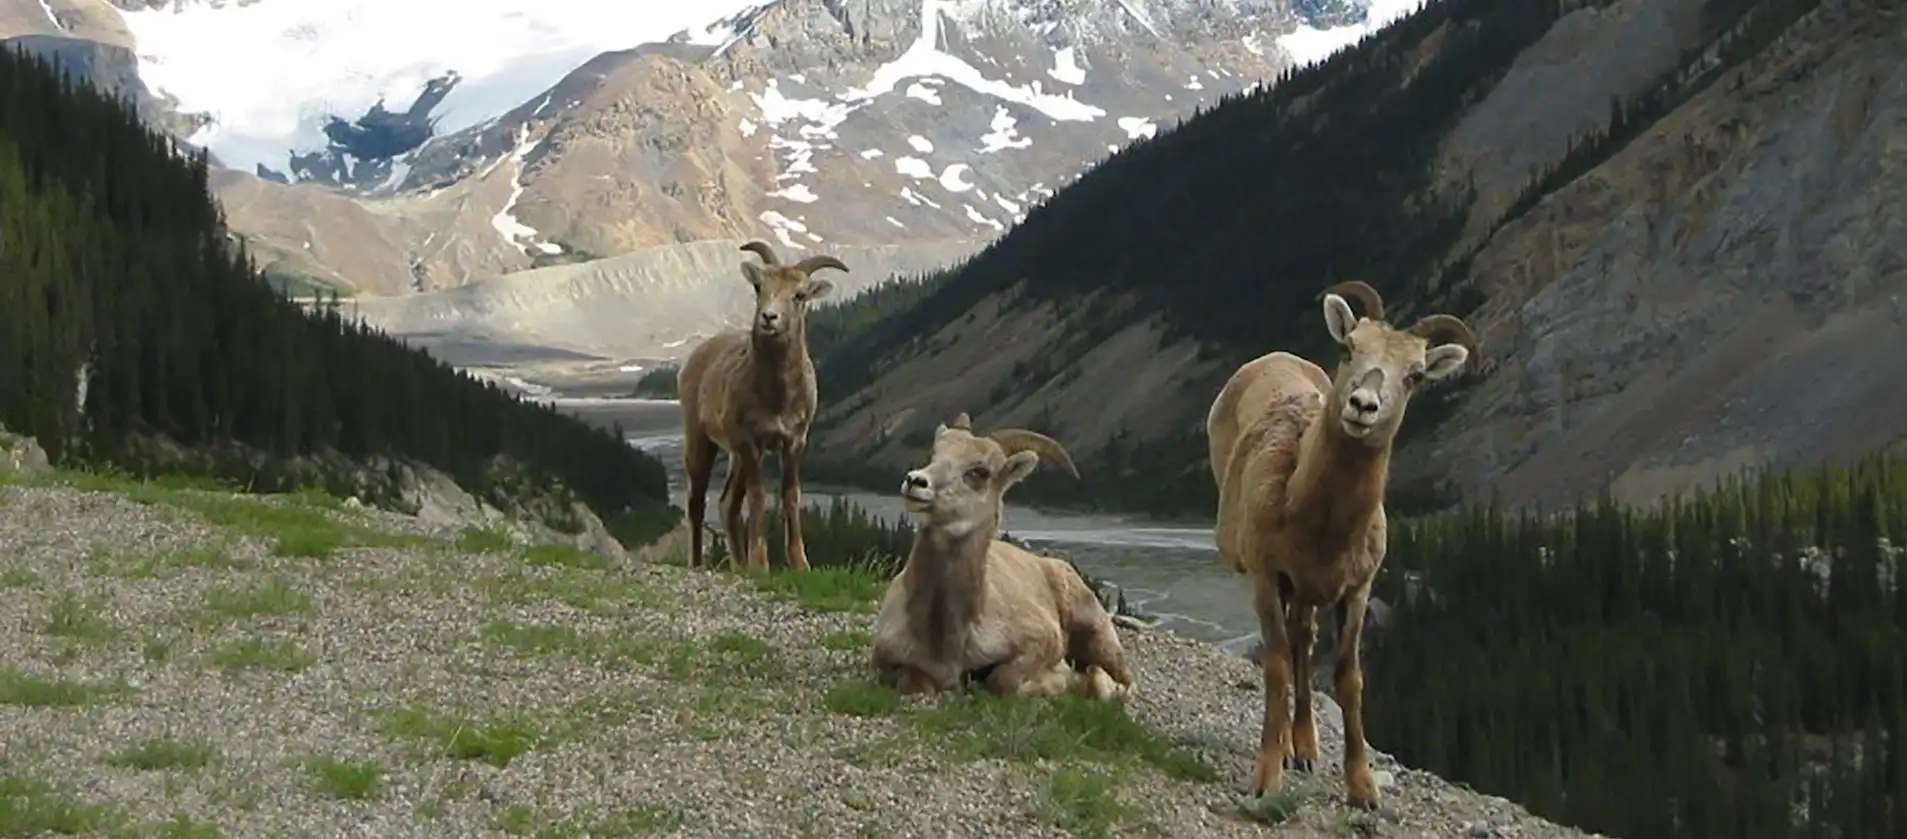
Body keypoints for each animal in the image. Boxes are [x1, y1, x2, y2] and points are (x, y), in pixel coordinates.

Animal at [677, 240, 848, 573]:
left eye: (799, 295)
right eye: (759, 286)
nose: (769, 318)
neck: (776, 398)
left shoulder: (793, 443)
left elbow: (791, 496)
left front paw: (799, 563)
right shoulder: (750, 443)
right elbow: (758, 497)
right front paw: (760, 565)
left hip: (734, 458)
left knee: (727, 504)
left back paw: (739, 566)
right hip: (701, 441)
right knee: (697, 503)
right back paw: (698, 565)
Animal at [870, 413, 1131, 700]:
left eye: (980, 471)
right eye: (934, 454)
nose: (915, 481)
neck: (942, 642)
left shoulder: (1042, 641)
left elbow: (1002, 680)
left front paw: (1064, 681)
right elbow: (913, 683)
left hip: (1098, 635)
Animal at [1207, 280, 1477, 810]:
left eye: (1415, 375)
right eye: (1350, 347)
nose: (1362, 405)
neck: (1319, 525)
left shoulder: (1356, 591)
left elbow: (1349, 679)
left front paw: (1362, 789)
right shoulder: (1268, 578)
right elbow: (1274, 666)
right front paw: (1267, 776)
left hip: (1309, 596)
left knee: (1304, 642)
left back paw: (1305, 749)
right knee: (1293, 650)